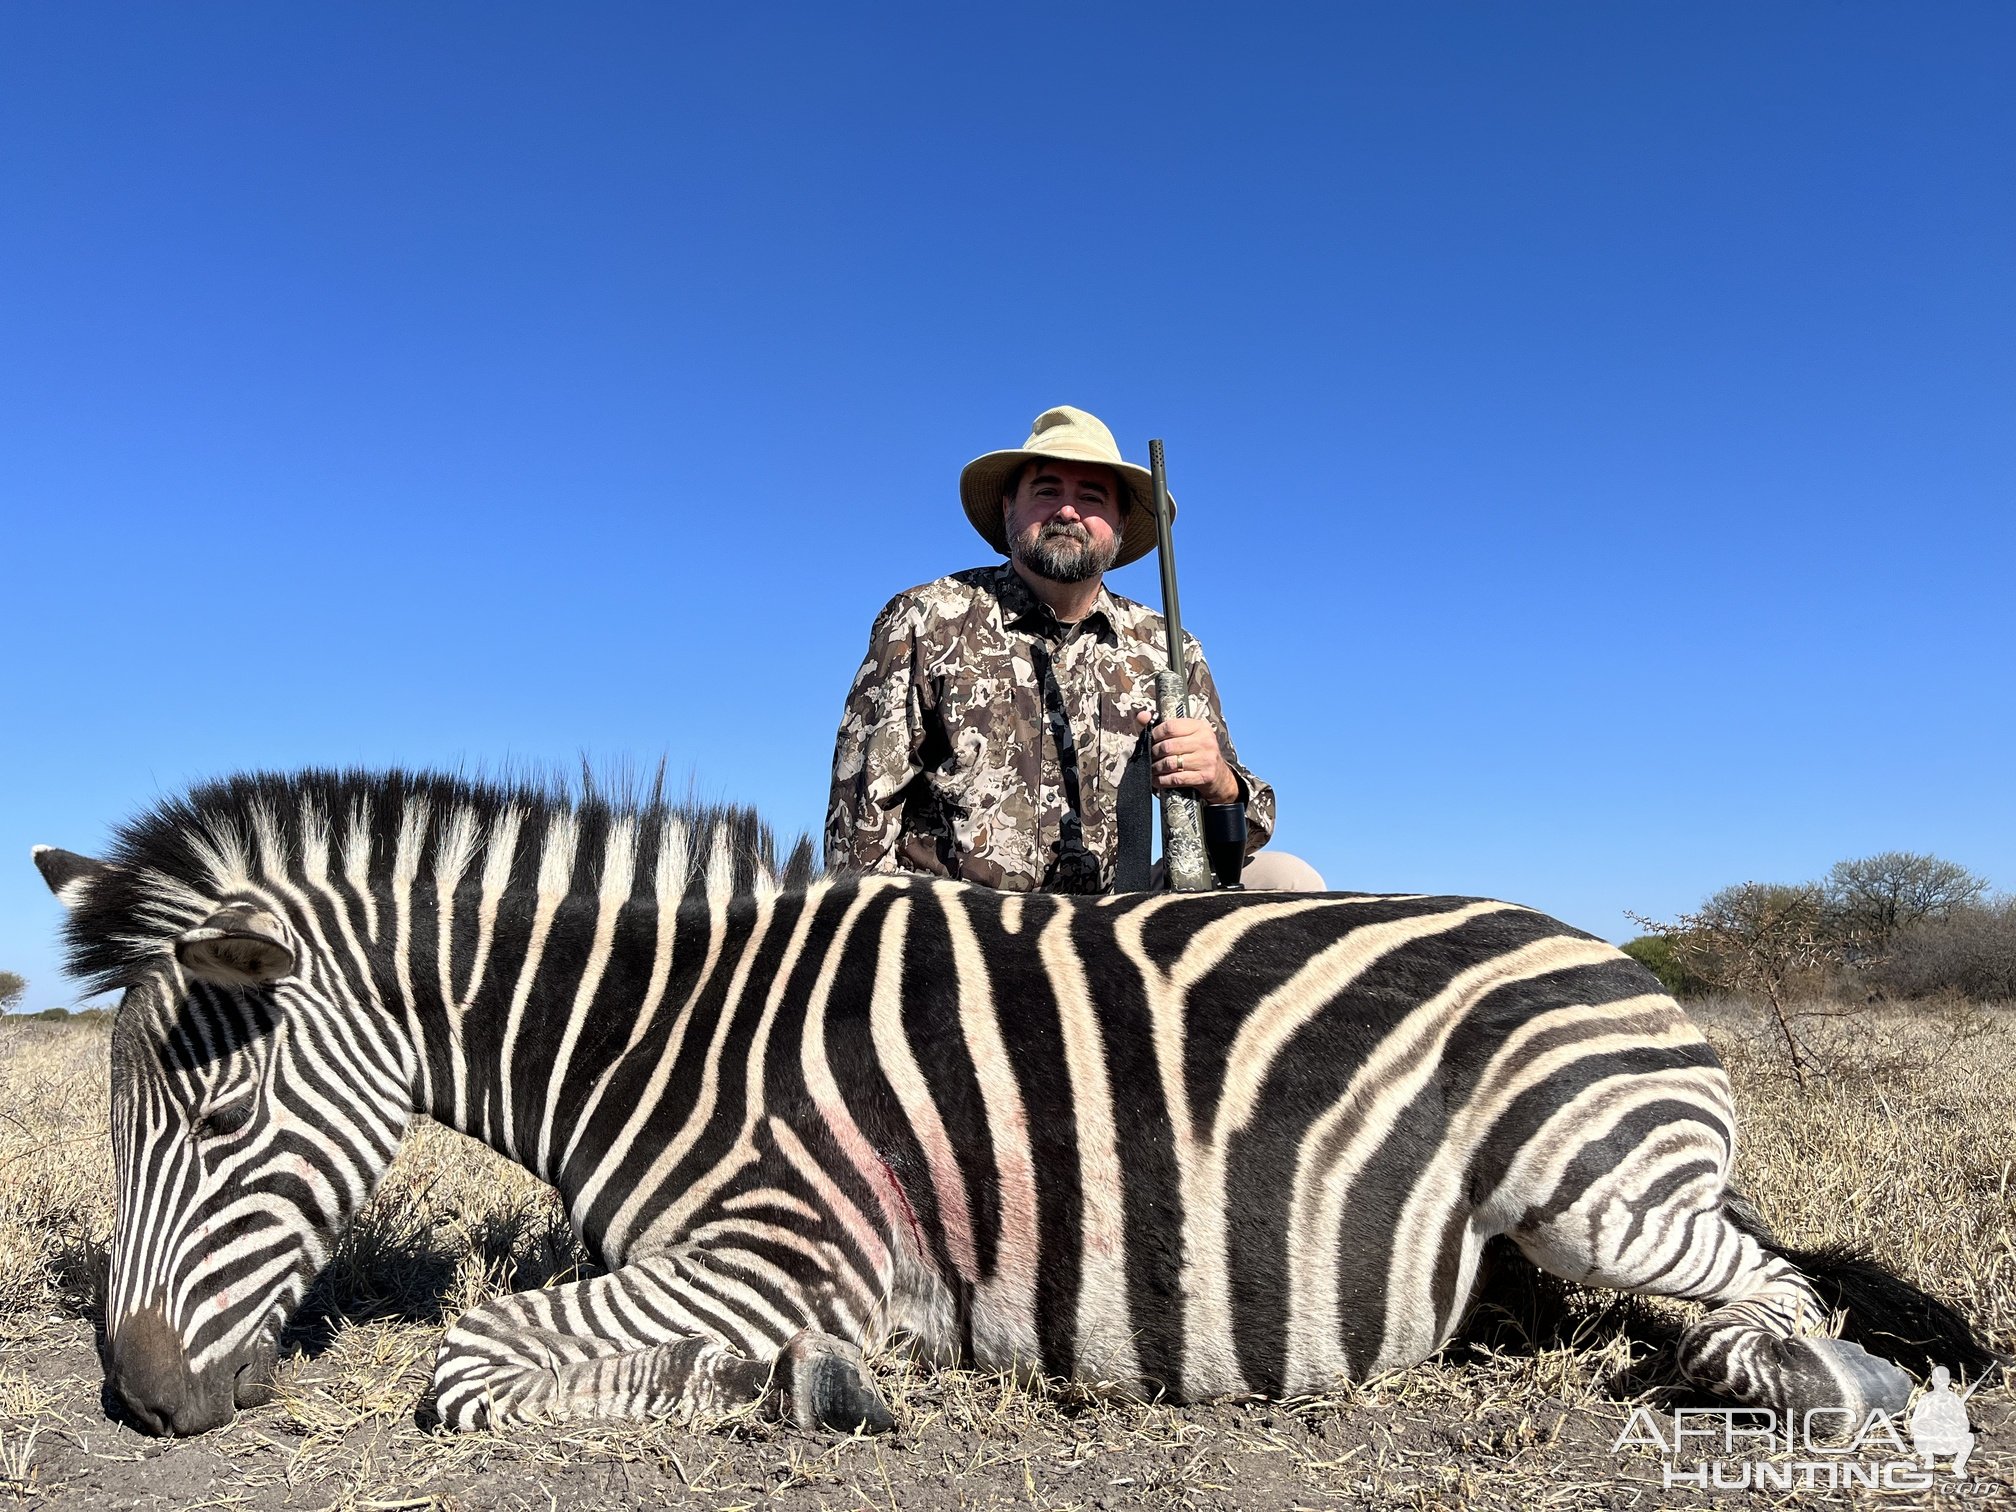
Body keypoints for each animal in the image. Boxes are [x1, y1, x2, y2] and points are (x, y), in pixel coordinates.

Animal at [39, 774, 1991, 1435]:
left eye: (216, 1124)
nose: (140, 1399)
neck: (667, 1031)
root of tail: (1615, 954)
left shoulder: (783, 1247)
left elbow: (463, 1361)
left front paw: (812, 1383)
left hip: (1596, 1180)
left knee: (1778, 1300)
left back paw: (1824, 1391)